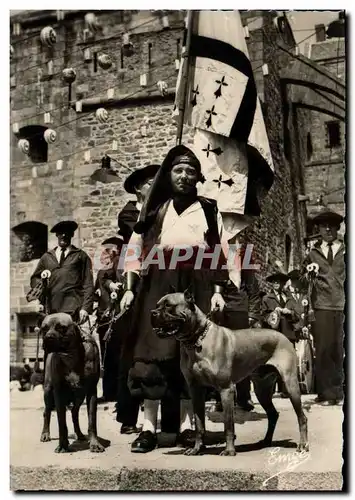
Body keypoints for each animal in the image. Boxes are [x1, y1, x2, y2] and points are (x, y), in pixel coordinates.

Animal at [40, 312, 105, 454]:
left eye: (61, 328)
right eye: (43, 329)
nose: (48, 338)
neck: (70, 355)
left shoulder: (91, 391)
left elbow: (92, 420)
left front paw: (94, 443)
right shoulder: (58, 392)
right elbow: (61, 422)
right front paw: (63, 445)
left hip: (79, 395)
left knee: (74, 413)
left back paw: (79, 434)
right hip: (48, 392)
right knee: (47, 412)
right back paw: (45, 434)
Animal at [152, 290, 310, 458]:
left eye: (168, 306)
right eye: (157, 305)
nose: (152, 312)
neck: (197, 339)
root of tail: (280, 334)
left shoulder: (225, 389)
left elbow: (228, 424)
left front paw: (229, 450)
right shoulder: (196, 390)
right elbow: (199, 424)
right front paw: (197, 449)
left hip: (290, 384)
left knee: (302, 417)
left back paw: (303, 445)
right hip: (262, 390)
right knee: (273, 414)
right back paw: (266, 441)